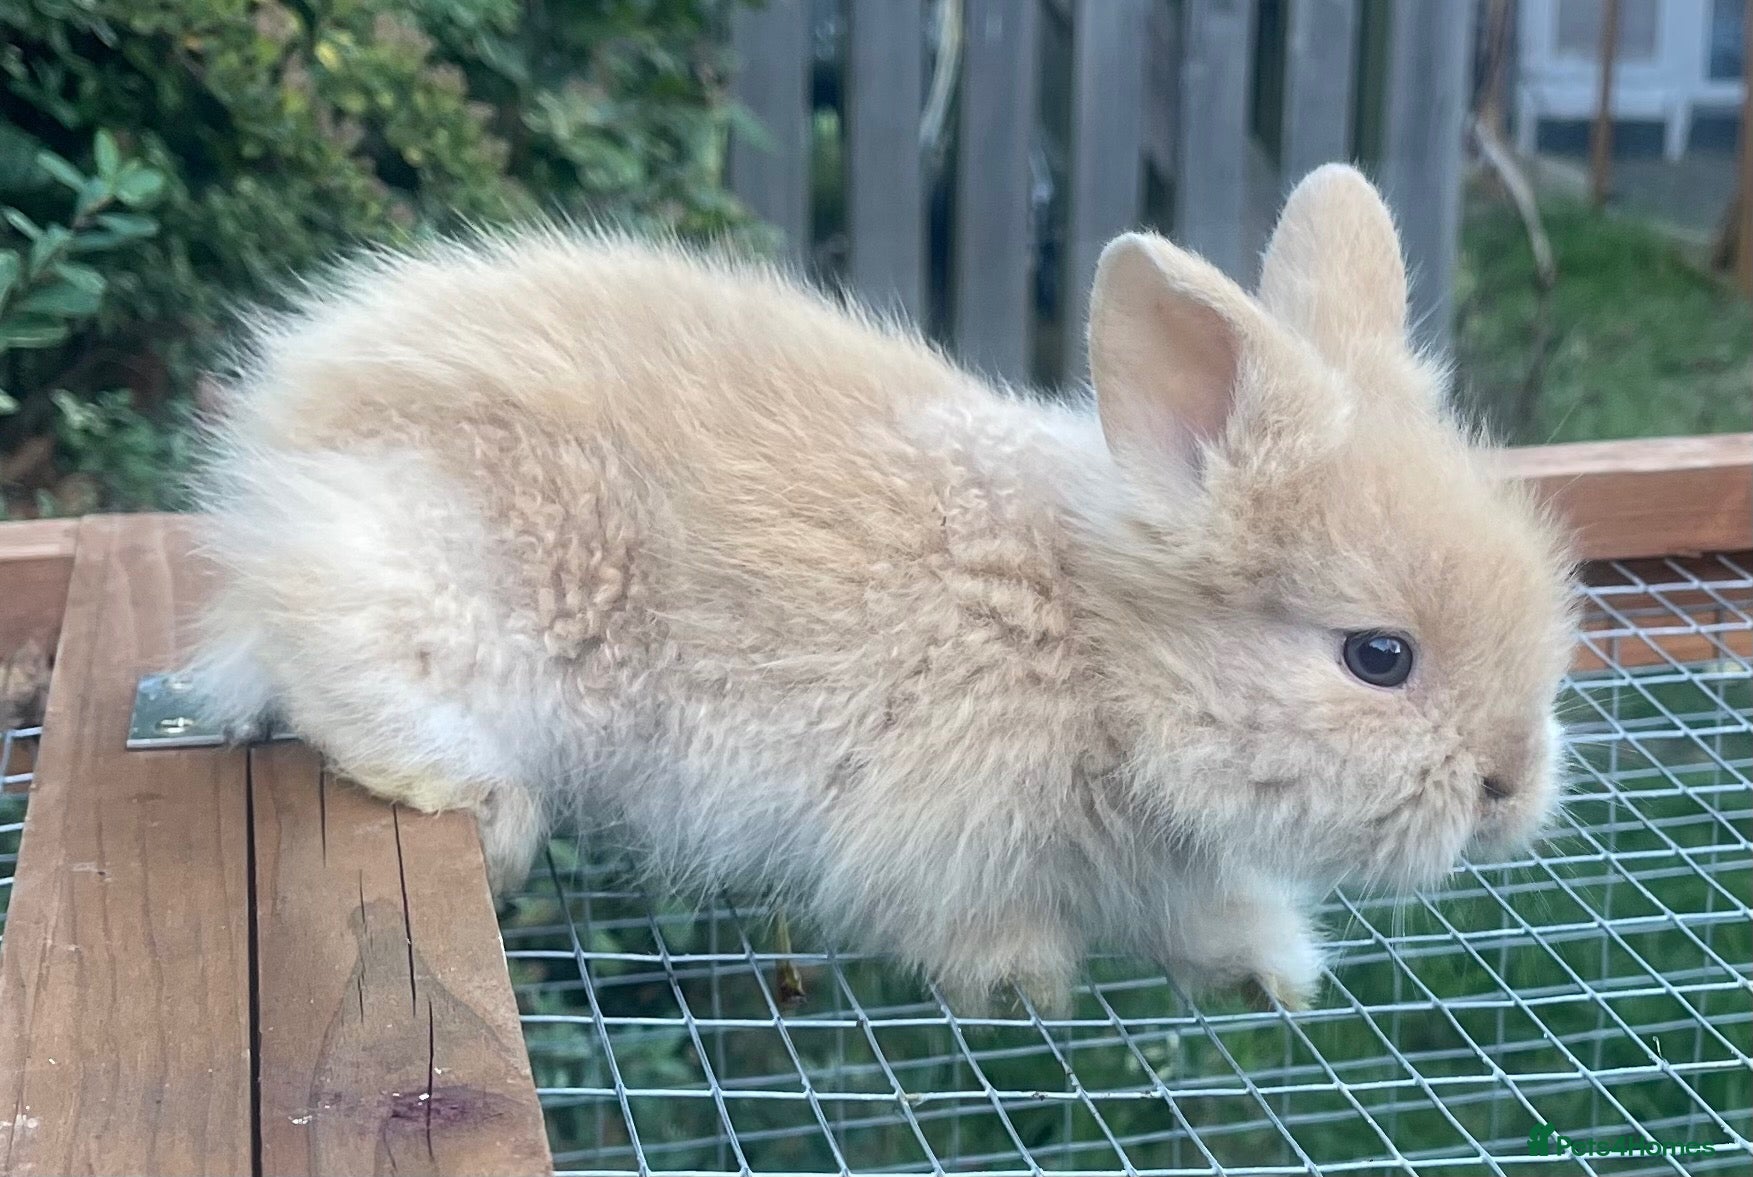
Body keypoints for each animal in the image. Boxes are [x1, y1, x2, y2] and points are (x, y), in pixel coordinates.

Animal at [187, 165, 1577, 1012]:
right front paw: (1029, 984)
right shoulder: (943, 826)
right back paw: (481, 799)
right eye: (1378, 657)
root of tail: (279, 431)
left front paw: (1274, 977)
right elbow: (957, 920)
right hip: (455, 591)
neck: (1098, 646)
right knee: (334, 652)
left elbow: (1207, 917)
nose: (1508, 787)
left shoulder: (1156, 863)